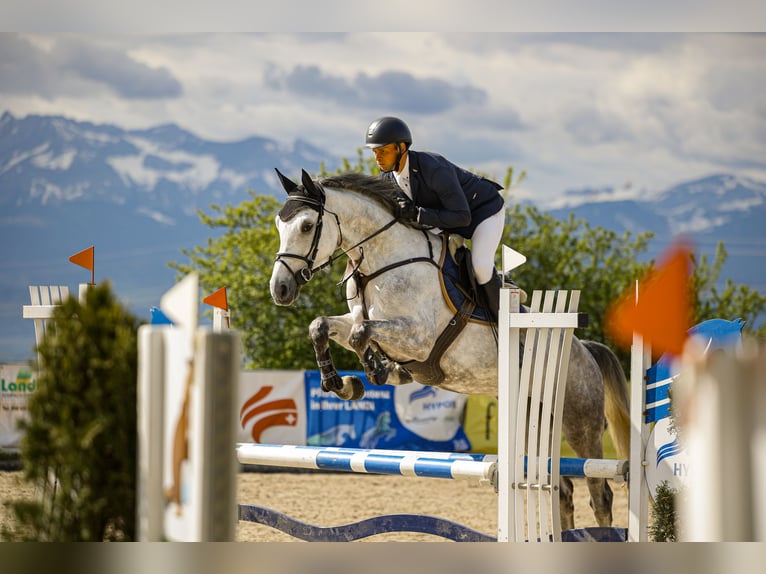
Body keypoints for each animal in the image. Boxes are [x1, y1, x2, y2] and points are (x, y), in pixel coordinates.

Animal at [269, 169, 631, 531]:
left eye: (306, 226)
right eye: (278, 225)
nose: (280, 290)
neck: (383, 263)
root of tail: (585, 350)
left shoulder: (419, 336)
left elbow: (361, 335)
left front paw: (376, 369)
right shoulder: (358, 320)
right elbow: (320, 325)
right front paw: (341, 384)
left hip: (579, 423)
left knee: (599, 493)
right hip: (533, 420)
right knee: (562, 491)